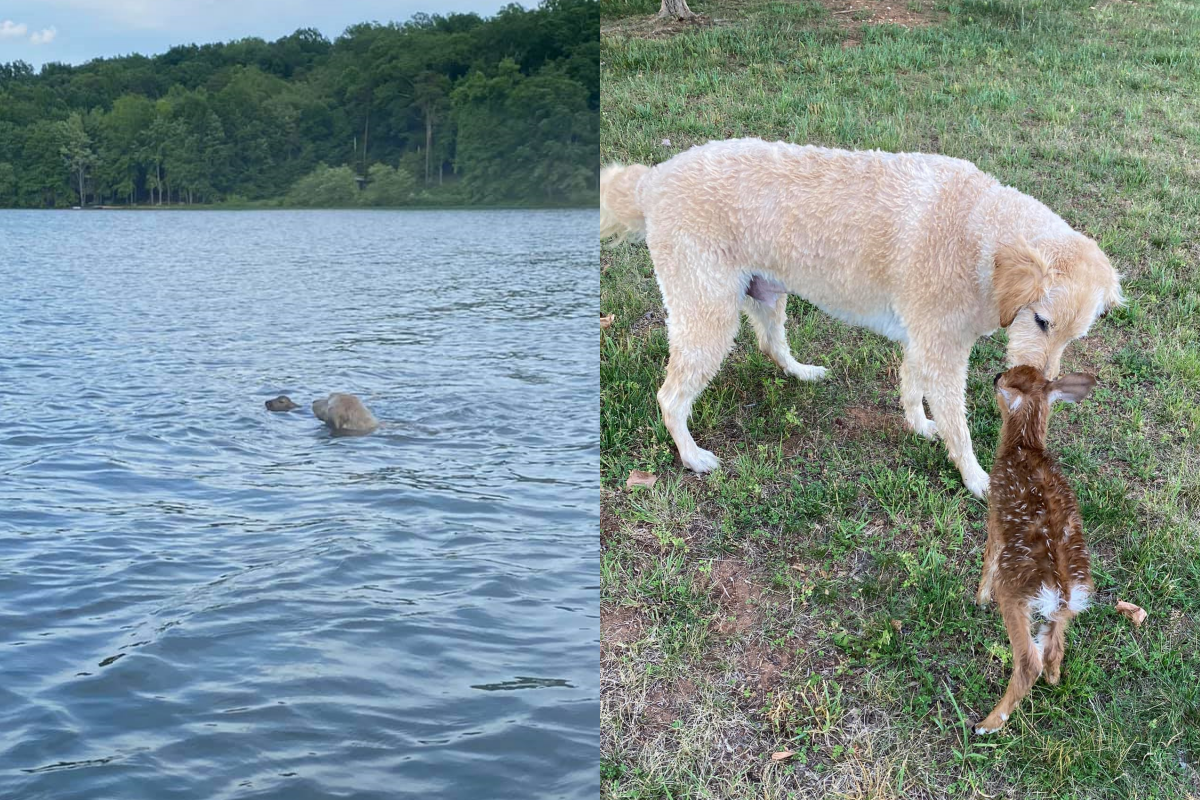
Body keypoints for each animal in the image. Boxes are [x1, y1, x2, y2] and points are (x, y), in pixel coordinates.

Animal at [974, 365, 1097, 734]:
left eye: (1008, 379)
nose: (996, 376)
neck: (1025, 445)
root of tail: (1062, 591)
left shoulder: (995, 516)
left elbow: (988, 557)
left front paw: (978, 599)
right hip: (1062, 611)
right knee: (1054, 649)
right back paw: (1054, 679)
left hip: (1015, 593)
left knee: (1030, 661)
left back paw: (986, 724)